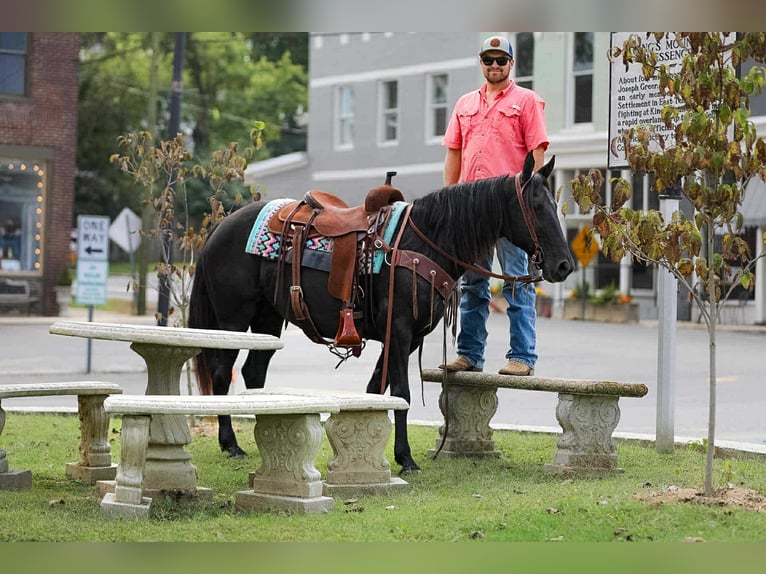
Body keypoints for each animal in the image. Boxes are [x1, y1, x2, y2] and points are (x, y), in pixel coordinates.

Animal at [188, 151, 575, 474]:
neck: (424, 241)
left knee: (253, 372)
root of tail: (221, 227)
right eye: (537, 206)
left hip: (268, 320)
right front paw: (406, 459)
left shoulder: (406, 337)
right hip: (234, 319)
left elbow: (377, 389)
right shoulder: (400, 331)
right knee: (222, 373)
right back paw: (231, 444)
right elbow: (401, 393)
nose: (564, 265)